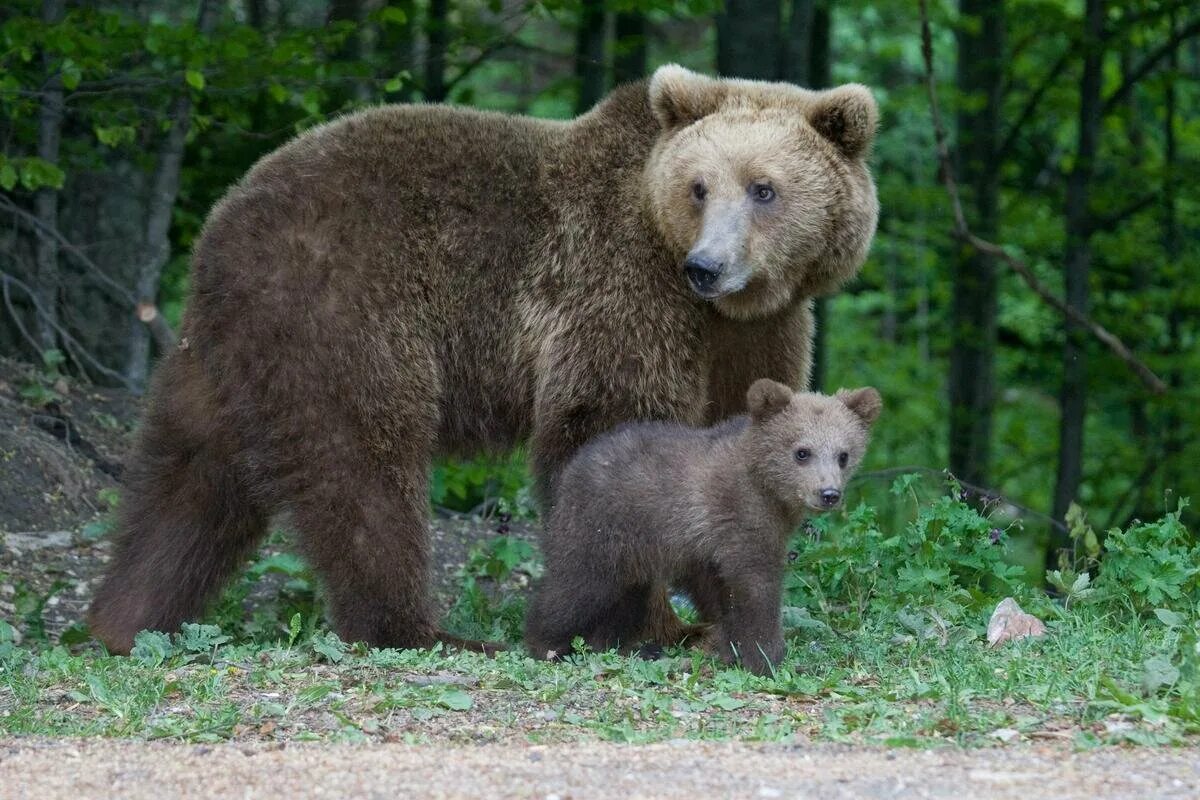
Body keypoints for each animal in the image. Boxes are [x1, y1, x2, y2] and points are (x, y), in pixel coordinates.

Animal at [524, 379, 882, 675]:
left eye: (843, 455)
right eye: (802, 452)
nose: (829, 494)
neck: (767, 489)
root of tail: (575, 465)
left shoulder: (717, 547)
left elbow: (725, 598)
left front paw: (733, 652)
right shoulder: (740, 517)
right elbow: (756, 587)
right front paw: (768, 658)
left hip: (635, 554)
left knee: (628, 598)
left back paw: (618, 646)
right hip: (600, 529)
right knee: (575, 587)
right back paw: (548, 645)